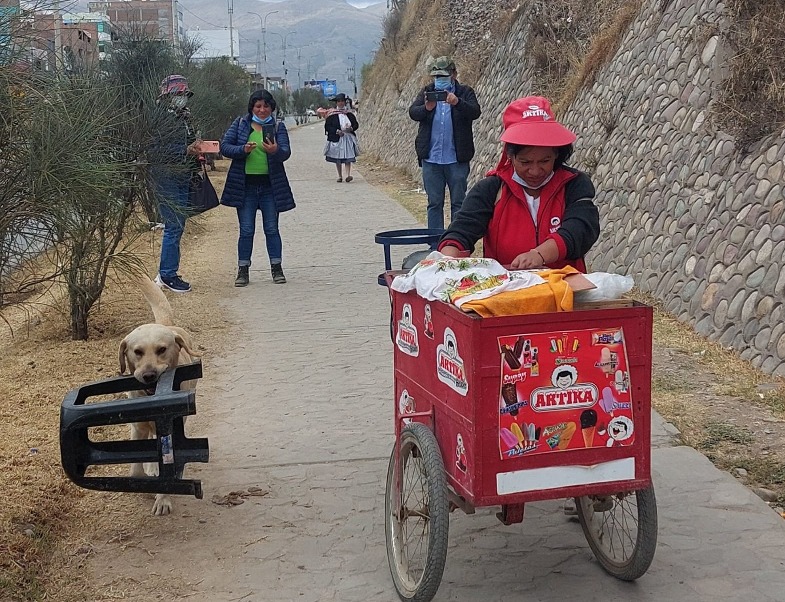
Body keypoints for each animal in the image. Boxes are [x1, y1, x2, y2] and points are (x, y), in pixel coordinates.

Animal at [119, 274, 201, 512]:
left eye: (162, 350)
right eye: (137, 352)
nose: (149, 375)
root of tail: (165, 324)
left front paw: (162, 498)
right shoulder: (137, 427)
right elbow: (136, 467)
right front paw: (145, 478)